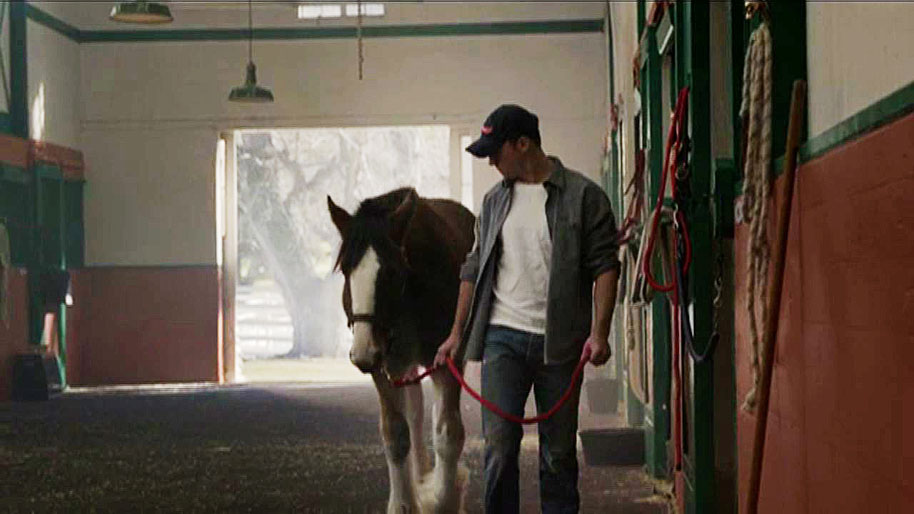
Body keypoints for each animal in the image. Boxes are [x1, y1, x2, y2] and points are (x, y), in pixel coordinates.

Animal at [324, 188, 474, 512]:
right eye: (346, 270)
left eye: (392, 272)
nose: (363, 352)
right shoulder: (385, 366)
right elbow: (396, 433)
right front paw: (405, 502)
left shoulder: (448, 360)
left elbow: (448, 433)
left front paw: (445, 496)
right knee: (416, 412)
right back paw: (419, 477)